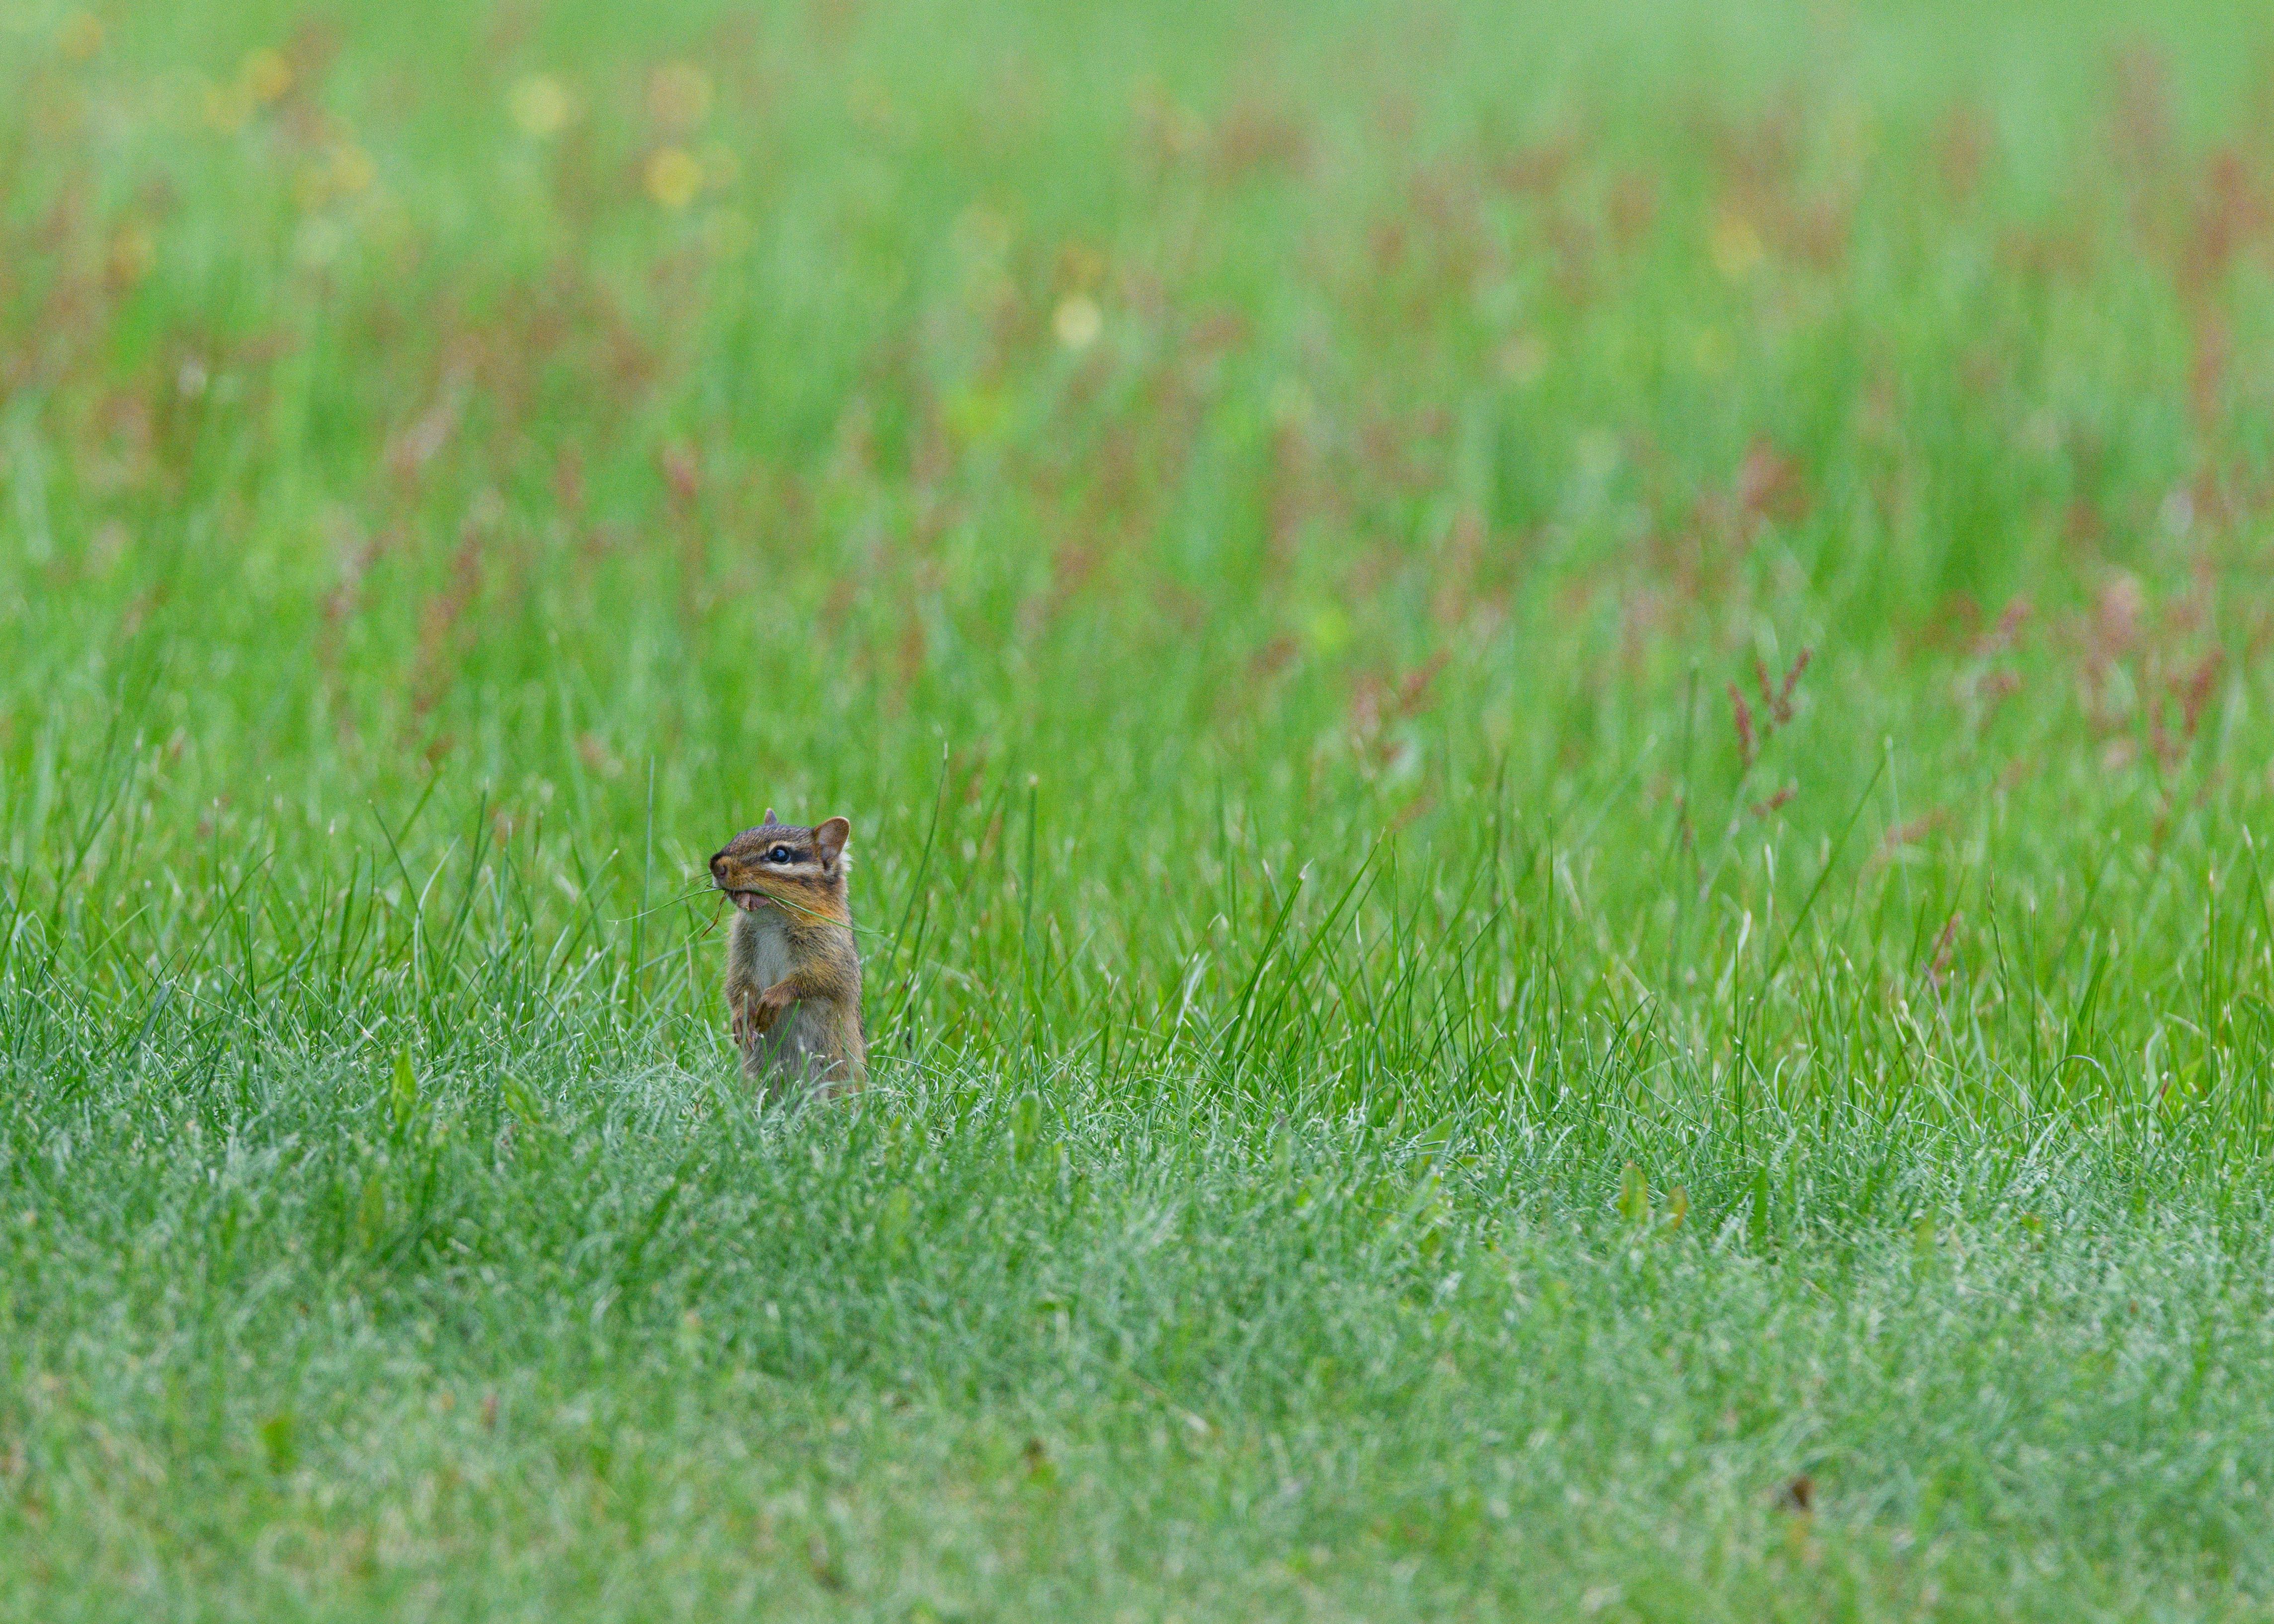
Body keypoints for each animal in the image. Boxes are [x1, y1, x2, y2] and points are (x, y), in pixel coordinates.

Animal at [709, 810, 867, 1098]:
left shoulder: (830, 955)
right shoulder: (742, 951)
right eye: (739, 835)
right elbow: (738, 986)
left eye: (780, 855)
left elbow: (813, 981)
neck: (772, 920)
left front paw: (772, 1000)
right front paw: (741, 1017)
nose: (716, 865)